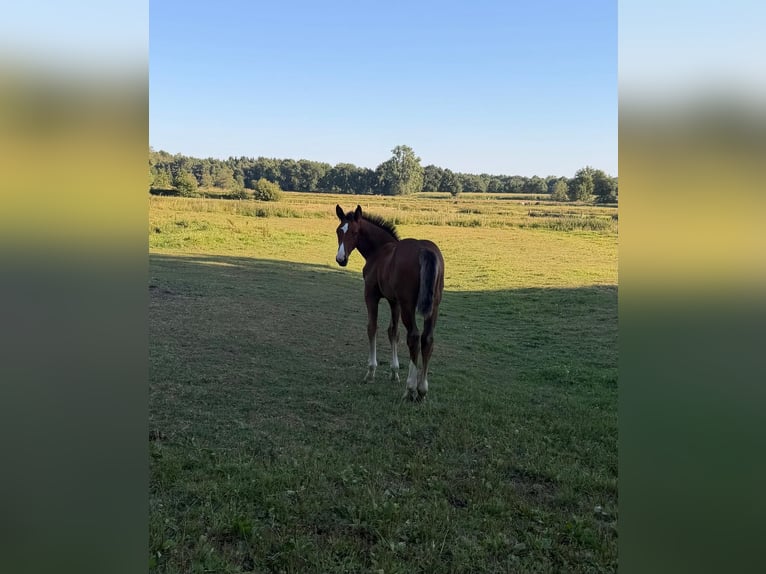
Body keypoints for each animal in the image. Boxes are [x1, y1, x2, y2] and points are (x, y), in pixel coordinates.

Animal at [334, 204, 445, 401]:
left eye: (355, 232)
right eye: (339, 231)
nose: (341, 259)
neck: (380, 250)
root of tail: (424, 250)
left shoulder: (371, 295)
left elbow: (372, 327)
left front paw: (371, 372)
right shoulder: (395, 302)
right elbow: (393, 332)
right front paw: (394, 373)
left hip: (409, 305)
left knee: (414, 337)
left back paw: (410, 389)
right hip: (434, 305)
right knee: (427, 338)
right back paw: (422, 390)